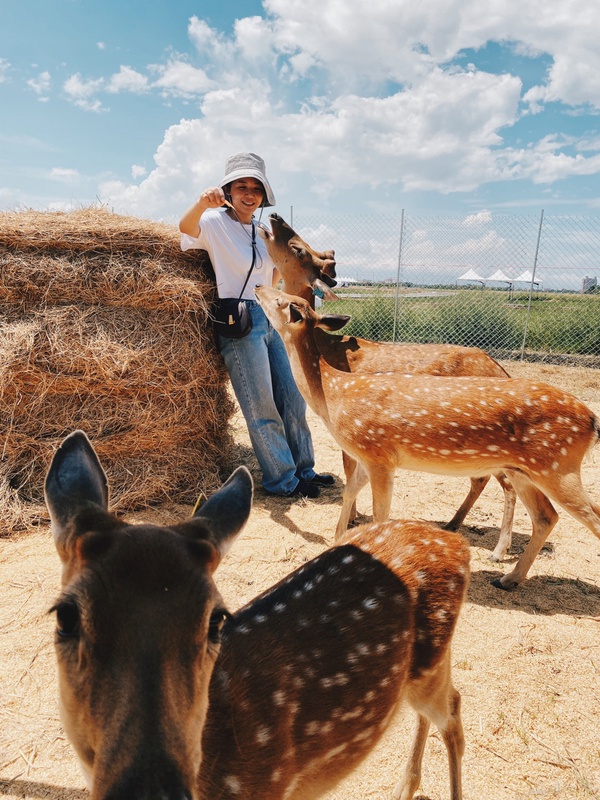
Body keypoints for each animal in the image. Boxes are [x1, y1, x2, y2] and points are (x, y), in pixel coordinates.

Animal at [46, 430, 470, 800]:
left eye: (216, 620)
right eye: (64, 616)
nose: (150, 788)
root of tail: (458, 545)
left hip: (431, 663)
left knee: (453, 713)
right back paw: (405, 786)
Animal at [255, 286, 600, 590]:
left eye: (281, 299)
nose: (257, 287)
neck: (333, 394)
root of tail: (592, 420)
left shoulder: (377, 452)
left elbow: (380, 511)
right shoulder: (366, 456)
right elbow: (350, 491)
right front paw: (336, 539)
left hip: (558, 466)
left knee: (587, 516)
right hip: (525, 470)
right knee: (546, 516)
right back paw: (508, 579)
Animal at [259, 213, 517, 562]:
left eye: (298, 248)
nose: (274, 217)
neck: (329, 353)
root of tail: (501, 370)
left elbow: (351, 473)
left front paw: (354, 521)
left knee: (507, 484)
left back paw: (499, 549)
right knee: (483, 477)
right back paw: (453, 523)